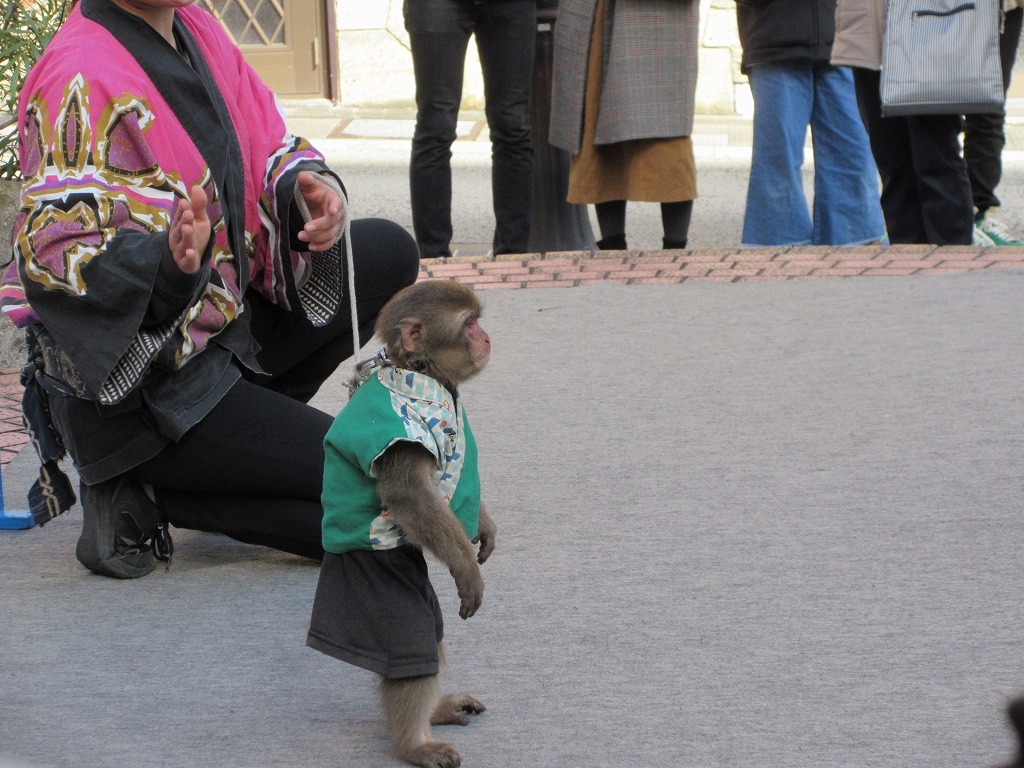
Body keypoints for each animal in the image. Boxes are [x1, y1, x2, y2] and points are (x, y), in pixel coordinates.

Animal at [303, 280, 495, 768]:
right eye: (468, 323)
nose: (486, 338)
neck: (418, 375)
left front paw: (484, 524)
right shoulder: (401, 433)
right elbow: (412, 496)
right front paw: (467, 569)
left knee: (433, 632)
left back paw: (439, 709)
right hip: (372, 585)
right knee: (412, 647)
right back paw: (415, 744)